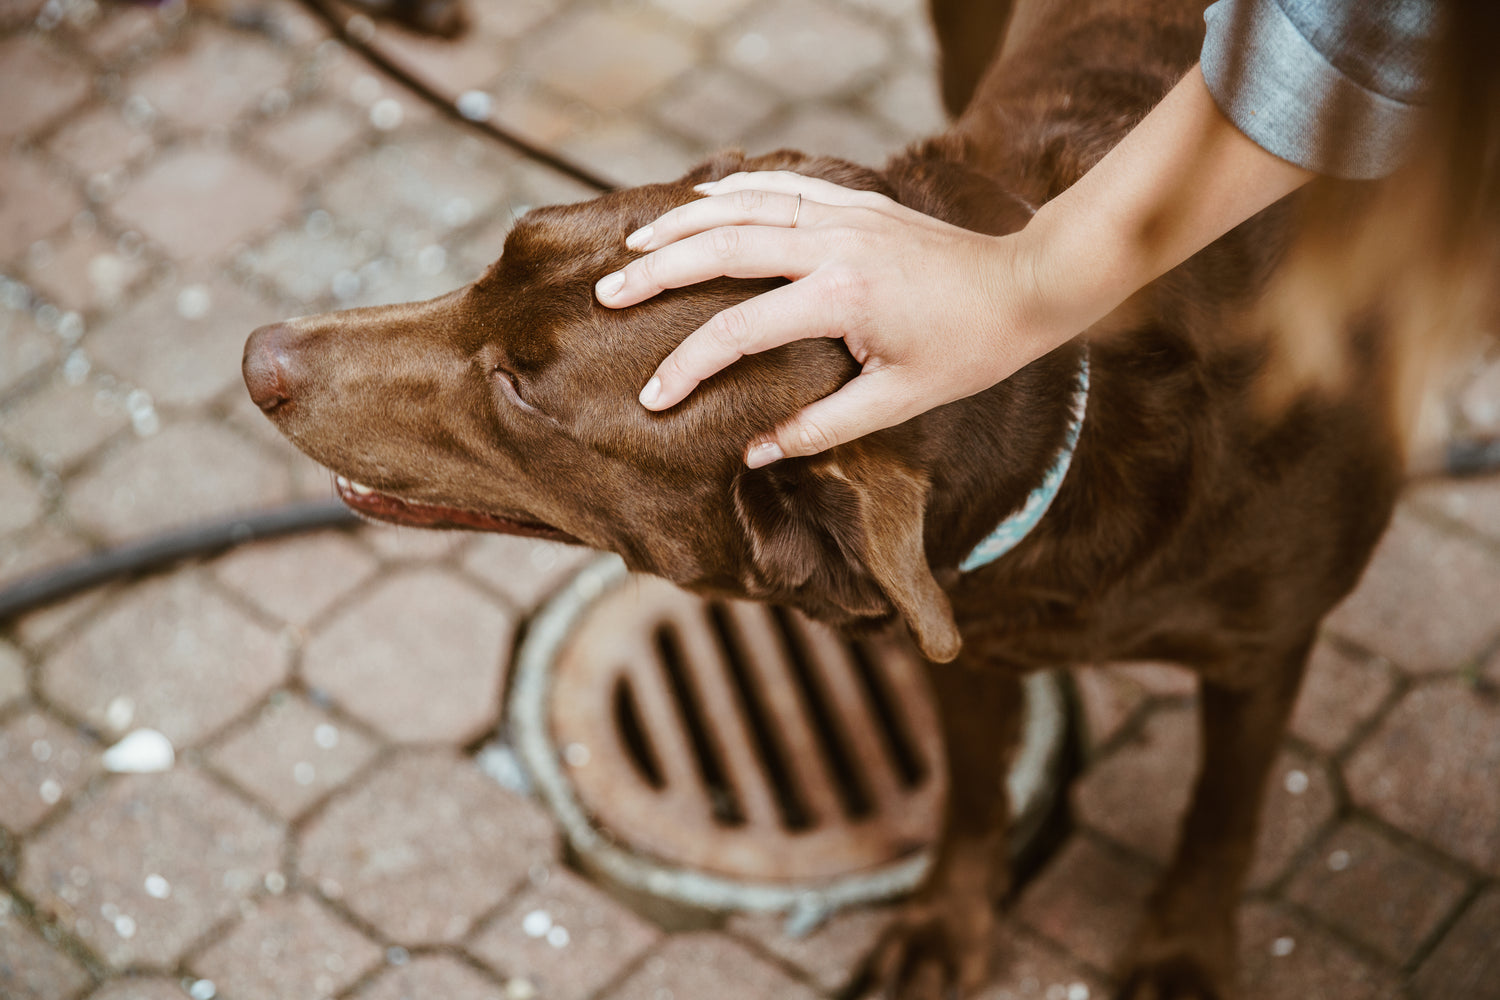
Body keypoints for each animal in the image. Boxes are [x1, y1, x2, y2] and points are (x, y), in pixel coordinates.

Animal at [243, 3, 1404, 995]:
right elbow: (972, 792)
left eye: (521, 391)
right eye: (505, 249)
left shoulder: (1265, 645)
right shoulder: (967, 632)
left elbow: (1223, 814)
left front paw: (1182, 954)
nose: (258, 358)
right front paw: (946, 922)